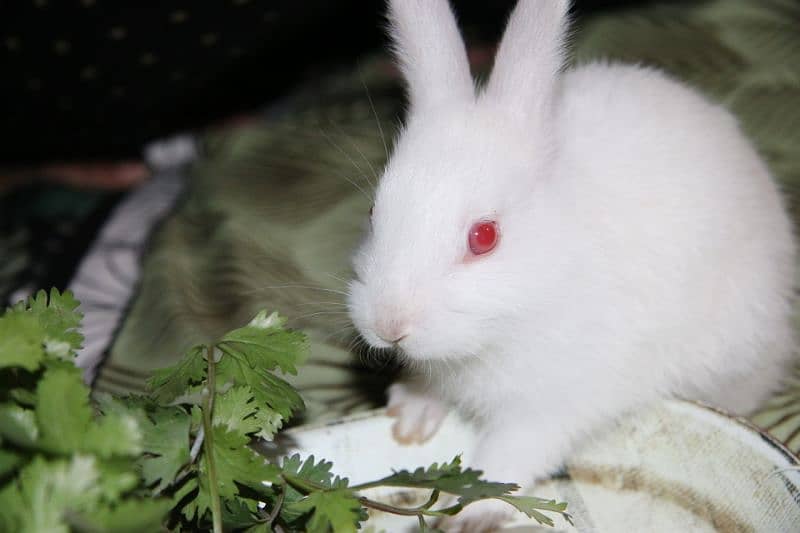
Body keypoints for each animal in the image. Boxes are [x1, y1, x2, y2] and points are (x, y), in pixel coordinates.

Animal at [346, 0, 796, 528]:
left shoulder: (551, 408)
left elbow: (508, 458)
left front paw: (466, 514)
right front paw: (410, 418)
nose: (390, 326)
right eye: (373, 212)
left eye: (484, 236)